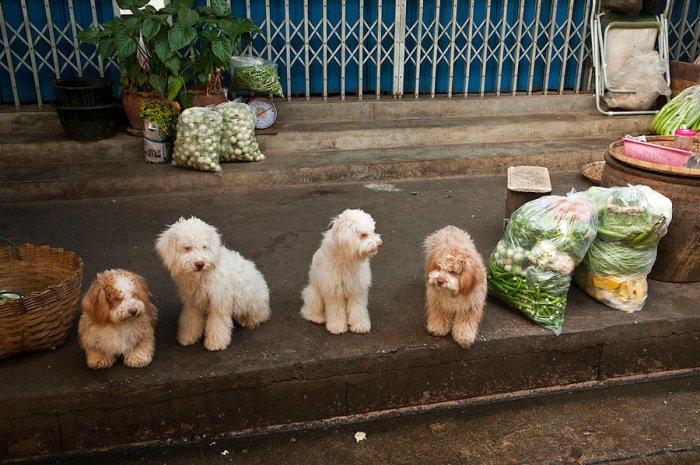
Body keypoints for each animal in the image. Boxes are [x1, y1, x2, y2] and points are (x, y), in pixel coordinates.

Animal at [156, 216, 270, 350]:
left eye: (204, 247)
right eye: (187, 247)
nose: (200, 264)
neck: (201, 276)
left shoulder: (219, 301)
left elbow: (217, 323)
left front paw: (216, 343)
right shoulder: (192, 302)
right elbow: (191, 320)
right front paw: (188, 337)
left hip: (251, 302)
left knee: (260, 314)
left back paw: (249, 320)